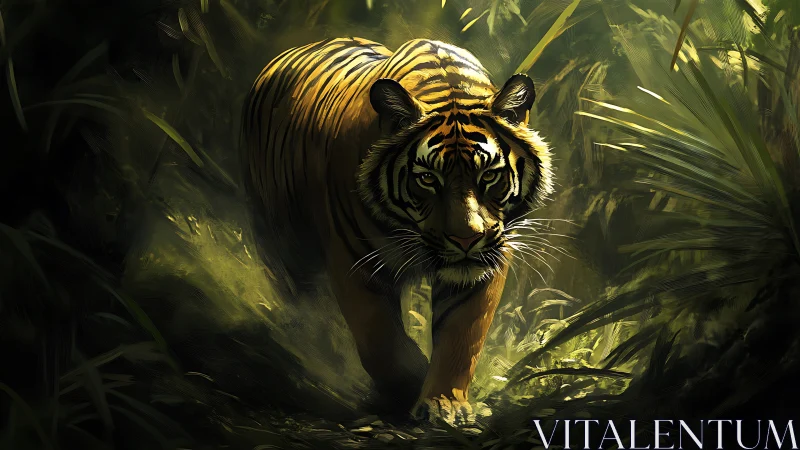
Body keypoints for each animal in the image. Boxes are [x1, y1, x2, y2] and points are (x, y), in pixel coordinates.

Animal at [241, 37, 553, 423]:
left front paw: (445, 404)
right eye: (428, 179)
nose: (466, 238)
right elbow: (380, 339)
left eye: (489, 175)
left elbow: (461, 337)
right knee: (302, 299)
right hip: (282, 235)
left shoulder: (483, 265)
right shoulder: (354, 260)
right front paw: (409, 385)